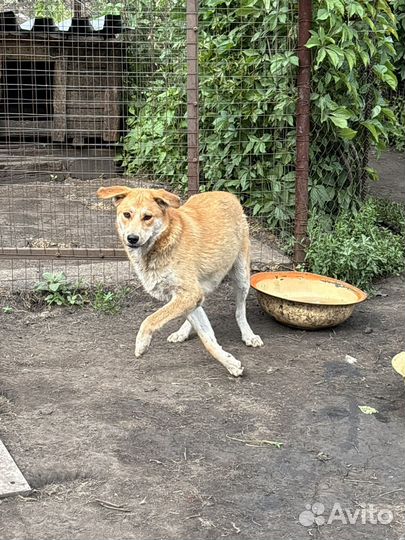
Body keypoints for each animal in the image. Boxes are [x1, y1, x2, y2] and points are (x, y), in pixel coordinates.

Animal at [97, 186, 262, 376]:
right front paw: (230, 362)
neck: (162, 243)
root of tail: (226, 193)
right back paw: (182, 332)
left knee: (240, 310)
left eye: (147, 217)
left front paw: (142, 343)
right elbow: (207, 339)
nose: (132, 238)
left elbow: (150, 320)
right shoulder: (185, 296)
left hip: (242, 277)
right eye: (126, 214)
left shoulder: (190, 294)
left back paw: (248, 335)